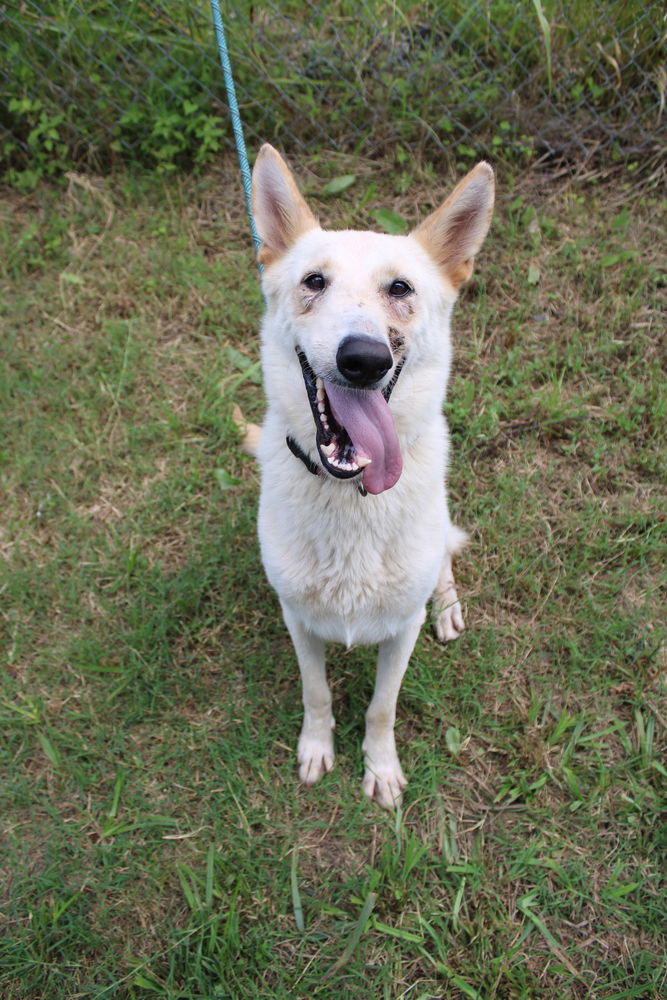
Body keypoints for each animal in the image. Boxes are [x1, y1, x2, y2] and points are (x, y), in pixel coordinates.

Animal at [248, 145, 494, 808]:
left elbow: (382, 708)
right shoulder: (298, 621)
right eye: (314, 281)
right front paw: (316, 749)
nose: (363, 359)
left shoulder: (401, 631)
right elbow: (317, 693)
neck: (351, 494)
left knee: (445, 561)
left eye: (400, 288)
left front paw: (380, 768)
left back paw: (449, 606)